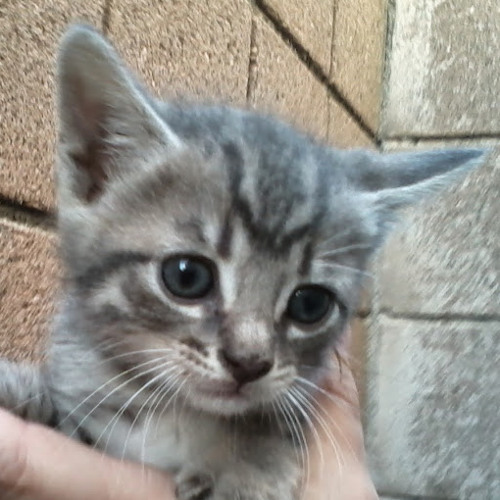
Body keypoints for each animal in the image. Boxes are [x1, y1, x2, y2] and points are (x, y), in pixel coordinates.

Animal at [0, 26, 488, 500]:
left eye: (310, 304)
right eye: (187, 277)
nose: (249, 363)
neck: (174, 416)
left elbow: (271, 422)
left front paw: (245, 471)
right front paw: (20, 393)